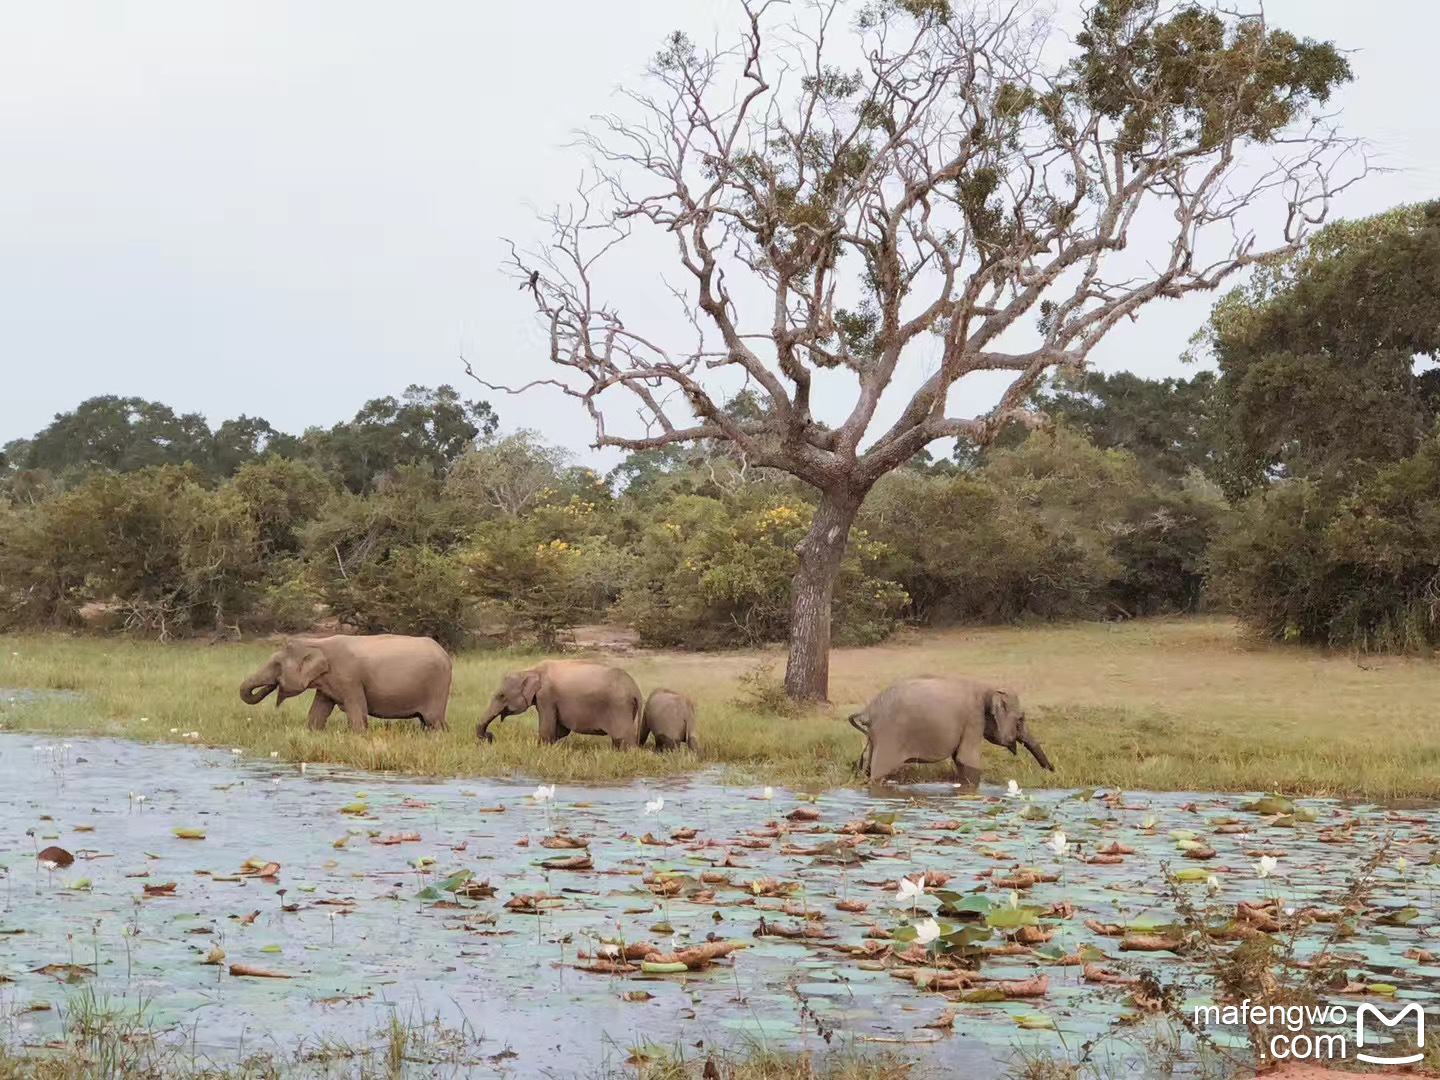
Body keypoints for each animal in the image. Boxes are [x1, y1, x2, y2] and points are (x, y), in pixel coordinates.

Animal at [237, 633, 449, 737]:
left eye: (277, 665)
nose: (275, 686)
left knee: (434, 722)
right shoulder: (326, 684)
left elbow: (358, 714)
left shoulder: (350, 679)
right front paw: (313, 733)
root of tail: (445, 654)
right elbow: (317, 713)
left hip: (437, 687)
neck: (317, 643)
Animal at [478, 659, 642, 754]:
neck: (530, 670)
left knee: (624, 738)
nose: (490, 736)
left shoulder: (546, 697)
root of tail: (635, 689)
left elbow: (547, 729)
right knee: (618, 740)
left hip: (620, 707)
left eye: (501, 696)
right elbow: (559, 730)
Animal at [846, 676, 1054, 789]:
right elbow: (966, 759)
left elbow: (960, 760)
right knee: (878, 772)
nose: (1052, 770)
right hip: (890, 736)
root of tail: (868, 711)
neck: (988, 688)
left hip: (875, 737)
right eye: (1021, 719)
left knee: (868, 766)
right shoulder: (973, 719)